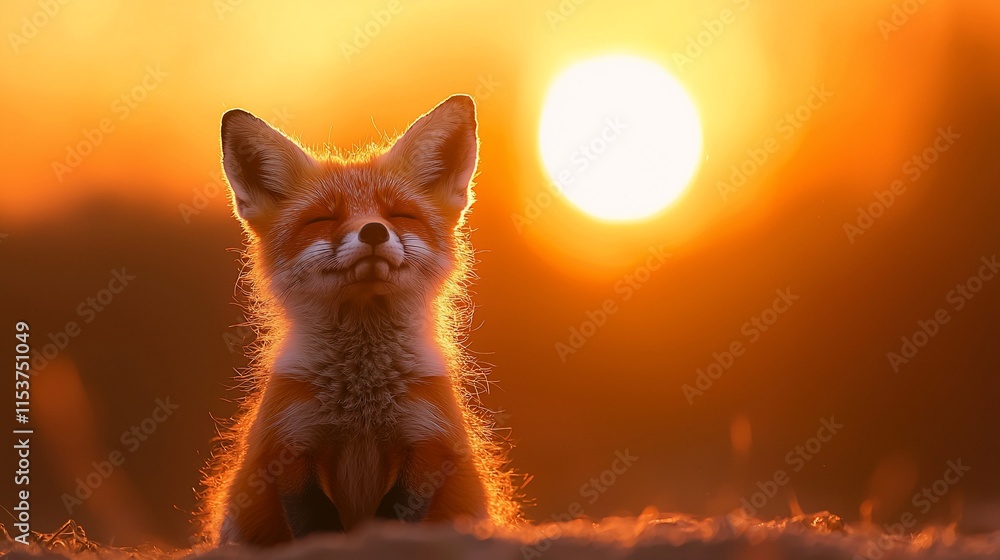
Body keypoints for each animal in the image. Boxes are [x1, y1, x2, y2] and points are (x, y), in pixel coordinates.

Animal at [198, 95, 520, 546]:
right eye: (322, 220)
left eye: (400, 215)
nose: (373, 231)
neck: (361, 398)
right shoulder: (289, 444)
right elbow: (315, 526)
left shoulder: (428, 442)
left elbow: (393, 519)